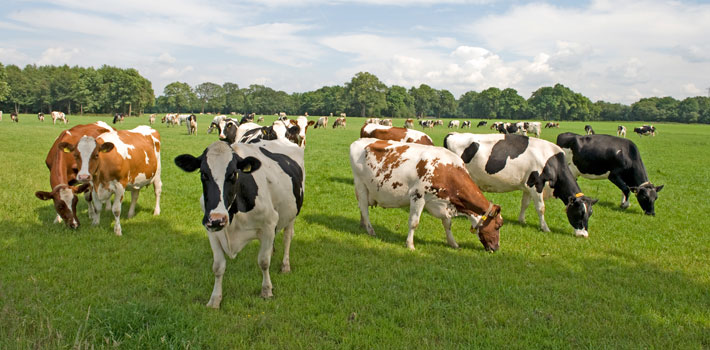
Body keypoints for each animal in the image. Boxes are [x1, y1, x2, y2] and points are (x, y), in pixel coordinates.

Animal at [175, 138, 306, 308]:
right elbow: (218, 266)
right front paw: (215, 300)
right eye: (203, 174)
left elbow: (263, 262)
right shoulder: (211, 230)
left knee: (287, 237)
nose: (217, 219)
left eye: (232, 174)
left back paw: (285, 265)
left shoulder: (269, 224)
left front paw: (266, 290)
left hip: (292, 213)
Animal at [350, 139, 506, 252]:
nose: (496, 248)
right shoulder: (418, 196)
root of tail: (359, 141)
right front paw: (410, 245)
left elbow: (448, 224)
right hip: (361, 185)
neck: (446, 171)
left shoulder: (444, 201)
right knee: (364, 208)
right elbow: (414, 222)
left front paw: (453, 243)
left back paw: (363, 225)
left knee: (362, 208)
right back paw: (370, 230)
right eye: (498, 225)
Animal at [448, 133, 596, 238]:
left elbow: (525, 204)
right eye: (580, 213)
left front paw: (522, 220)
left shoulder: (528, 186)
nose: (584, 235)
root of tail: (453, 134)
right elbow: (541, 208)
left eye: (590, 213)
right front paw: (545, 228)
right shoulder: (537, 184)